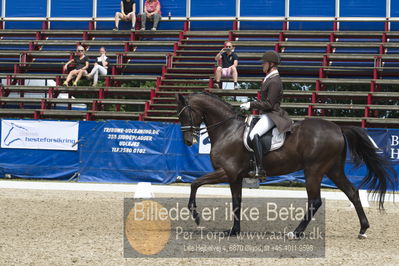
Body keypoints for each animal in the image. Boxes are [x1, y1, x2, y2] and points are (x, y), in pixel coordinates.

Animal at [177, 91, 398, 239]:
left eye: (185, 114)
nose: (188, 141)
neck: (227, 129)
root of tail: (338, 128)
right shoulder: (235, 176)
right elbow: (236, 202)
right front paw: (234, 231)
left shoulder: (227, 172)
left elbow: (195, 183)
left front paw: (196, 216)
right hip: (333, 170)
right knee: (352, 192)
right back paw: (363, 229)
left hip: (313, 171)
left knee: (315, 201)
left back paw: (296, 233)